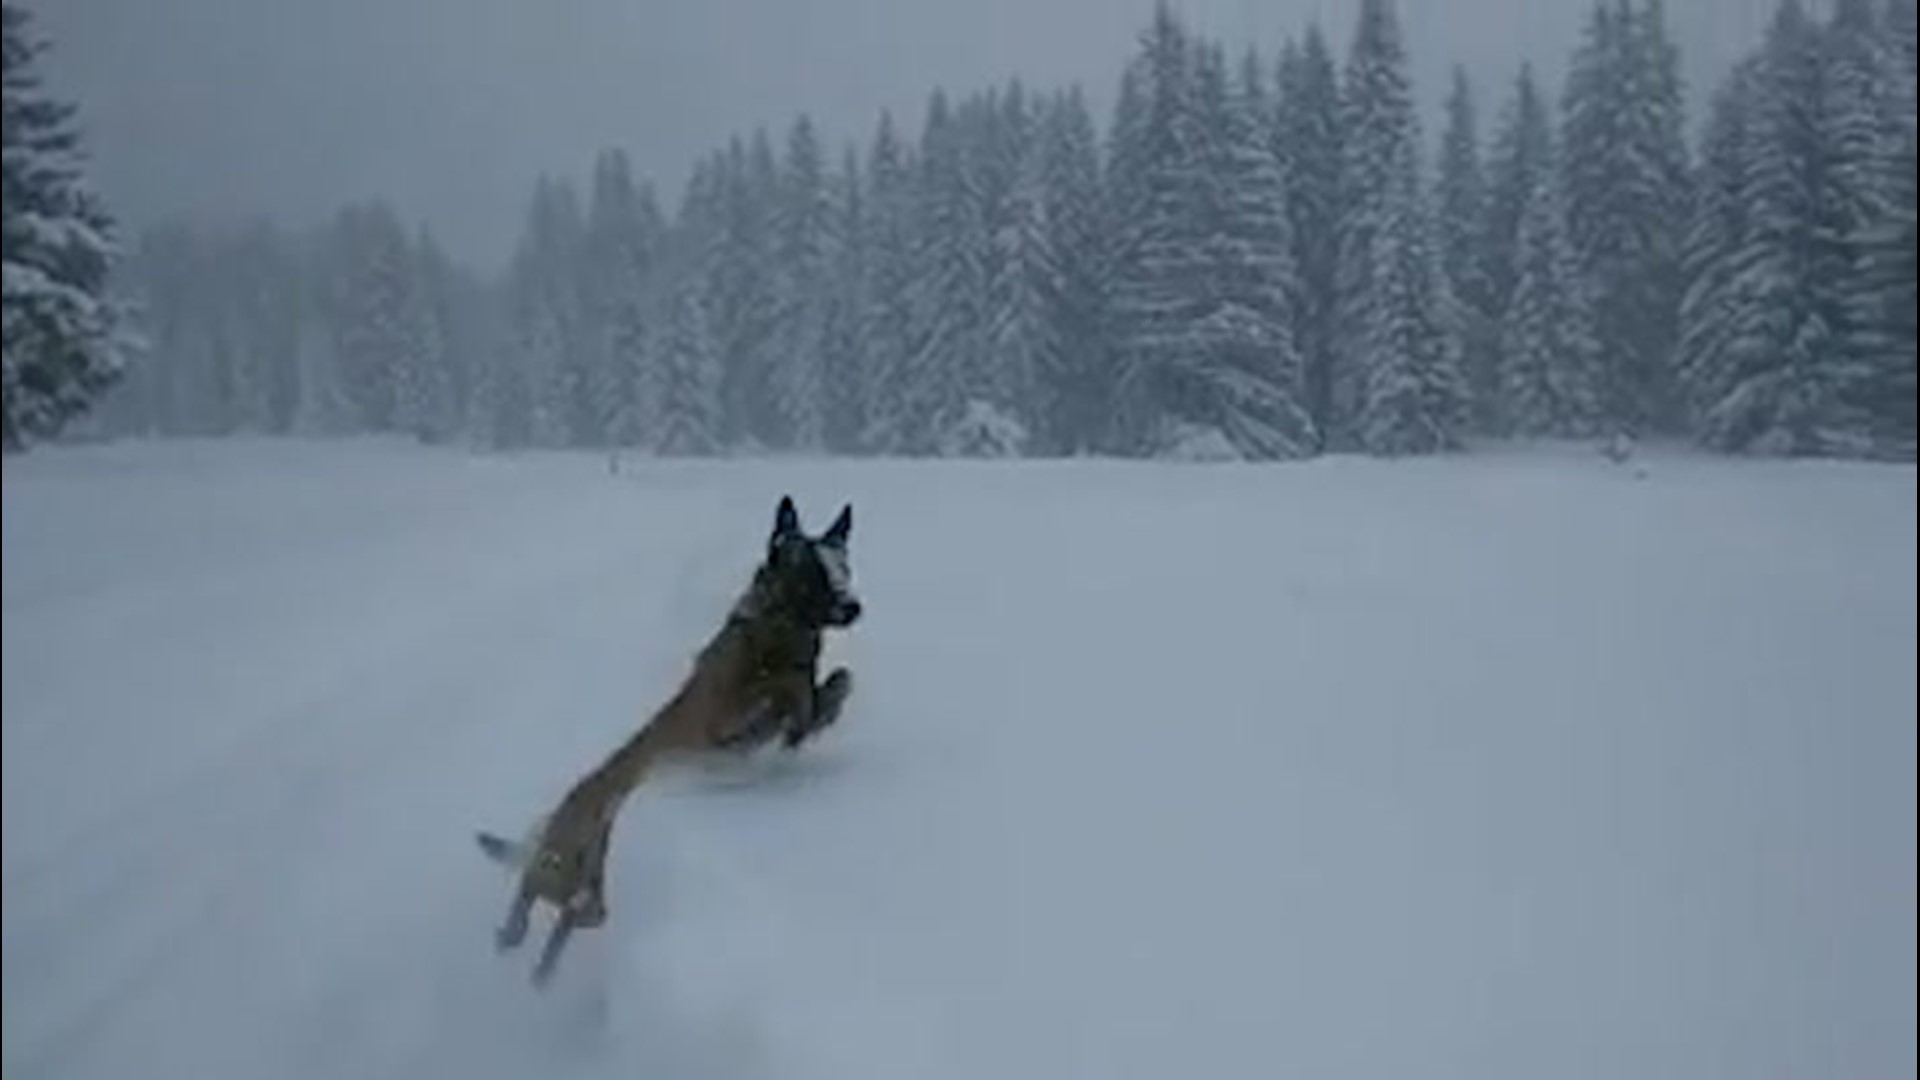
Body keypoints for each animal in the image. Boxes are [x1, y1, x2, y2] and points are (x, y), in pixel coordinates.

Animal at [476, 491, 860, 980]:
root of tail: (558, 817)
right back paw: (520, 941)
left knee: (561, 913)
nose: (854, 606)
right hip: (572, 867)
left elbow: (829, 688)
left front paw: (806, 718)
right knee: (539, 895)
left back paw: (529, 957)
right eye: (815, 575)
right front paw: (791, 717)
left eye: (845, 568)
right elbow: (796, 696)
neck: (771, 628)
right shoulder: (723, 724)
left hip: (585, 882)